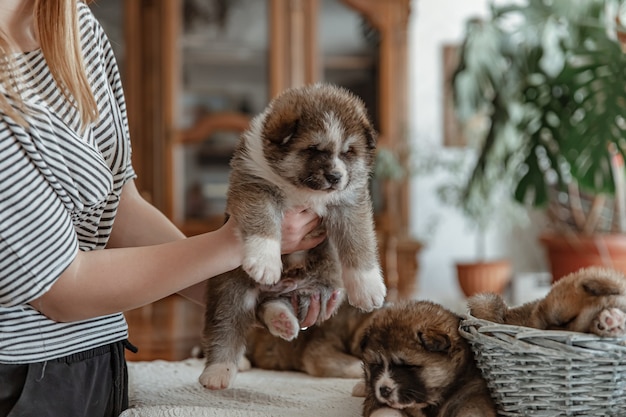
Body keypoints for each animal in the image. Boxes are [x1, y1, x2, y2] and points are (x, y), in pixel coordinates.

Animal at [200, 83, 386, 390]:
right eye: (313, 148)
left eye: (349, 151)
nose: (336, 177)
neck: (302, 188)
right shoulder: (255, 186)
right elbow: (262, 220)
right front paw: (265, 260)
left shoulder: (349, 202)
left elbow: (358, 241)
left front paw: (368, 288)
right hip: (232, 289)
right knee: (226, 326)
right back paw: (218, 372)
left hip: (312, 290)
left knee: (271, 305)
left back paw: (282, 321)